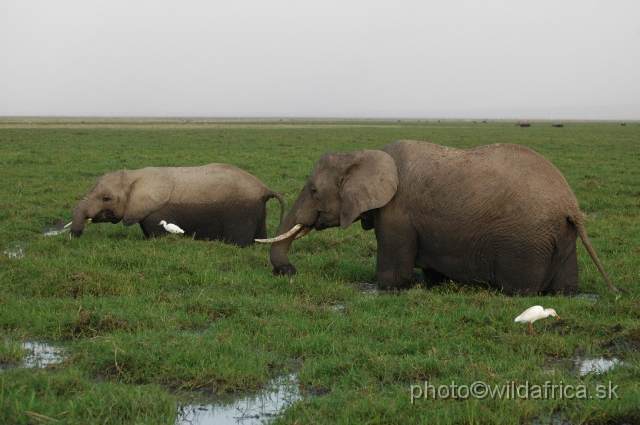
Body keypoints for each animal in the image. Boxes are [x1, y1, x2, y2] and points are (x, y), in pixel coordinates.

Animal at [68, 161, 284, 243]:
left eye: (106, 198)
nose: (73, 236)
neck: (133, 176)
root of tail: (264, 188)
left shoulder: (157, 212)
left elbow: (157, 236)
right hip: (256, 210)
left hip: (242, 212)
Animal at [258, 139, 624, 294]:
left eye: (313, 191)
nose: (290, 272)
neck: (363, 153)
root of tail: (571, 205)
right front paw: (435, 284)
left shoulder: (397, 215)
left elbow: (392, 276)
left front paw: (392, 288)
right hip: (560, 236)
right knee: (565, 286)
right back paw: (567, 293)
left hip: (526, 239)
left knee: (520, 289)